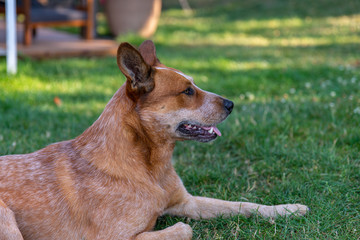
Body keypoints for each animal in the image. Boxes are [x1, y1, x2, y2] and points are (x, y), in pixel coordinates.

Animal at [0, 40, 310, 239]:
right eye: (187, 91)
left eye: (194, 85)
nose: (232, 104)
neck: (148, 166)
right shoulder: (111, 238)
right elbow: (184, 229)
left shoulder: (186, 201)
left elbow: (243, 205)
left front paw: (288, 209)